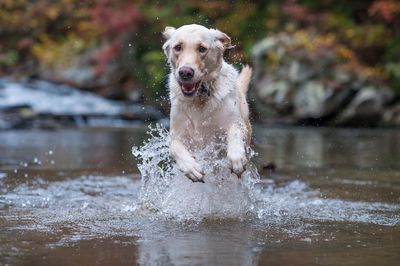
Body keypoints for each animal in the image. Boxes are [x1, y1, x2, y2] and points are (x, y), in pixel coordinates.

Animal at [162, 23, 250, 183]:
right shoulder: (177, 134)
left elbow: (234, 131)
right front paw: (191, 168)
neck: (199, 98)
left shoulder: (238, 125)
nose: (185, 72)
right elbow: (174, 147)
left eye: (202, 49)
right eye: (178, 47)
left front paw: (236, 158)